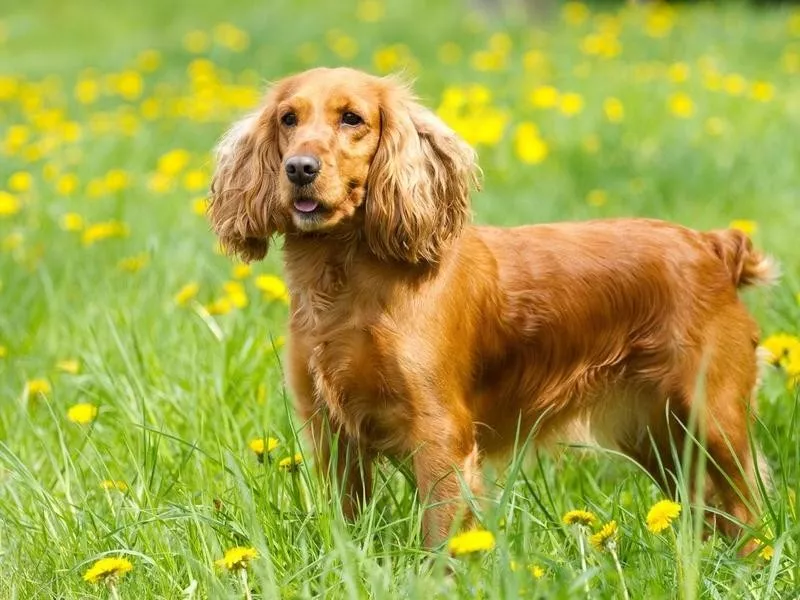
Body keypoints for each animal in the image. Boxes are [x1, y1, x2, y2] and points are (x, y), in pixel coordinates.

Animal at [208, 68, 776, 552]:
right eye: (288, 118)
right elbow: (349, 525)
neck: (348, 281)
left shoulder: (439, 433)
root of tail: (713, 245)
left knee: (747, 508)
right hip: (658, 436)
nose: (299, 168)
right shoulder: (331, 431)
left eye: (352, 118)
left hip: (712, 419)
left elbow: (442, 536)